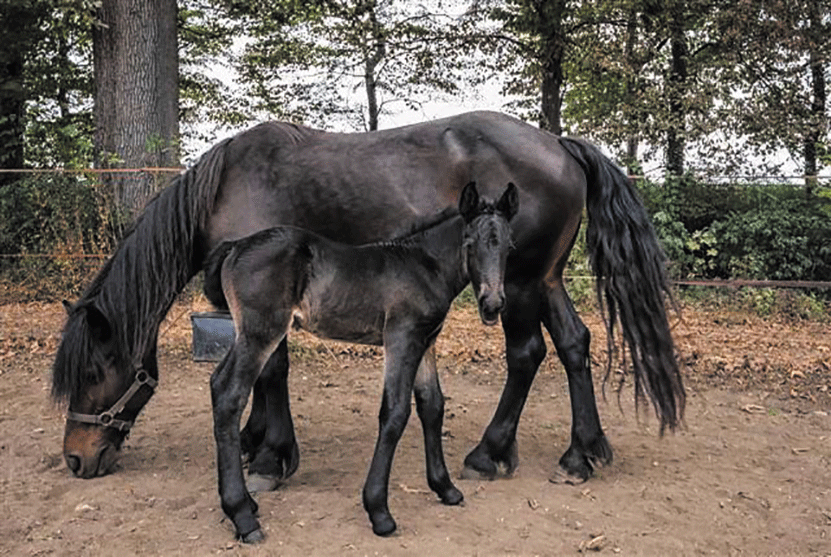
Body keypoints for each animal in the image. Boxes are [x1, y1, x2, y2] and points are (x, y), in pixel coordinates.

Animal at [55, 111, 684, 488]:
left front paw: (270, 457)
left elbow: (272, 372)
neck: (229, 187)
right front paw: (255, 441)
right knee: (575, 344)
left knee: (527, 354)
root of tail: (559, 143)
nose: (75, 459)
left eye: (93, 372)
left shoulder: (270, 304)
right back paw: (582, 453)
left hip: (520, 285)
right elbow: (262, 375)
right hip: (544, 279)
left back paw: (490, 453)